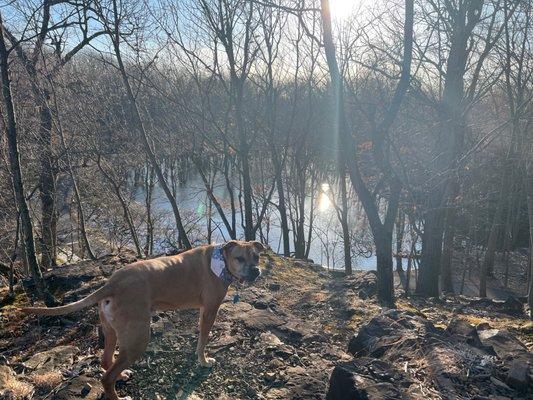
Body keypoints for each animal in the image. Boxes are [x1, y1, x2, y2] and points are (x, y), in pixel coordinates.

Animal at [22, 241, 264, 400]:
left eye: (257, 257)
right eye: (240, 258)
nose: (256, 271)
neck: (220, 261)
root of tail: (112, 284)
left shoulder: (203, 311)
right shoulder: (210, 311)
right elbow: (203, 339)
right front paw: (203, 360)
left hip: (112, 332)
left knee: (106, 361)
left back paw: (122, 375)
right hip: (138, 338)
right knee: (106, 378)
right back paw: (119, 396)